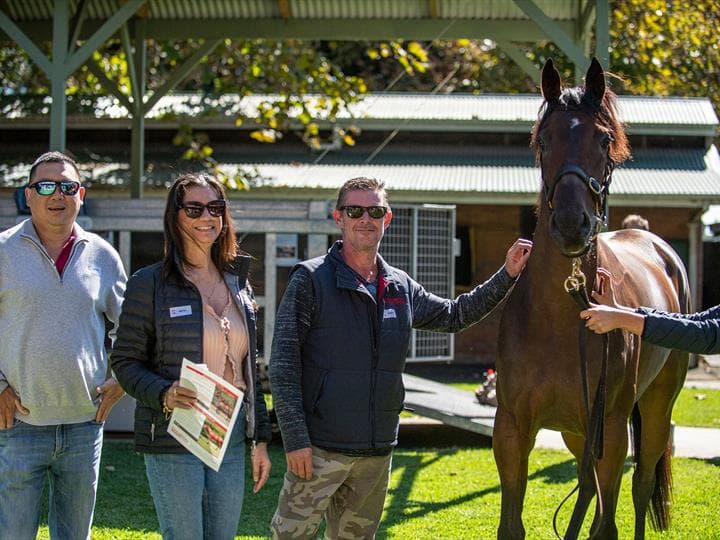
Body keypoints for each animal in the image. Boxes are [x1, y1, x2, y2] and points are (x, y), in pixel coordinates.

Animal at [494, 58, 691, 540]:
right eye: (544, 140)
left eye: (604, 139)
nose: (571, 224)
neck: (556, 321)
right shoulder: (511, 429)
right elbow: (513, 524)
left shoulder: (614, 430)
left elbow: (609, 522)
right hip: (579, 431)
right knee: (586, 489)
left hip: (653, 410)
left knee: (639, 486)